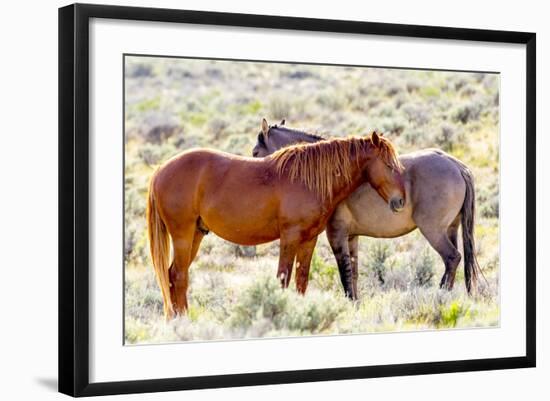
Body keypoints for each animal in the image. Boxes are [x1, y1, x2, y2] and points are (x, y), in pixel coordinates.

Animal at [149, 117, 408, 318]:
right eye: (388, 164)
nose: (400, 201)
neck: (307, 178)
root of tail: (160, 169)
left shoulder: (309, 239)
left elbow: (302, 280)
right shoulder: (290, 237)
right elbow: (284, 278)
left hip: (196, 234)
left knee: (174, 275)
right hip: (182, 235)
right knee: (178, 276)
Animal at [253, 117, 484, 298]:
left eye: (255, 153)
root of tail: (456, 165)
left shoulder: (336, 234)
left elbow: (345, 275)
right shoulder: (351, 236)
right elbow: (353, 275)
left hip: (433, 231)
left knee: (452, 258)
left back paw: (440, 295)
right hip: (451, 229)